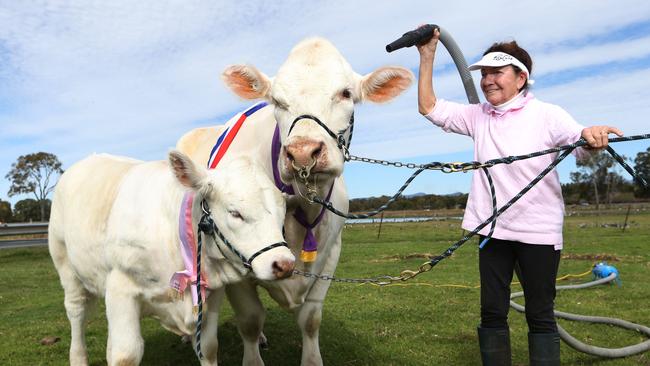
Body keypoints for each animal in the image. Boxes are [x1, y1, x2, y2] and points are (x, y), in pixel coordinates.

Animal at [48, 150, 294, 364]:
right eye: (235, 213)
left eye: (283, 213)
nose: (284, 264)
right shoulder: (121, 288)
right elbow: (126, 355)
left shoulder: (211, 296)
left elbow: (208, 348)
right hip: (67, 269)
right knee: (76, 313)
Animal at [176, 38, 410, 366]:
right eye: (277, 100)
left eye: (346, 93)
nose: (302, 152)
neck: (304, 208)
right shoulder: (234, 259)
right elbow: (250, 319)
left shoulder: (331, 255)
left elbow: (310, 319)